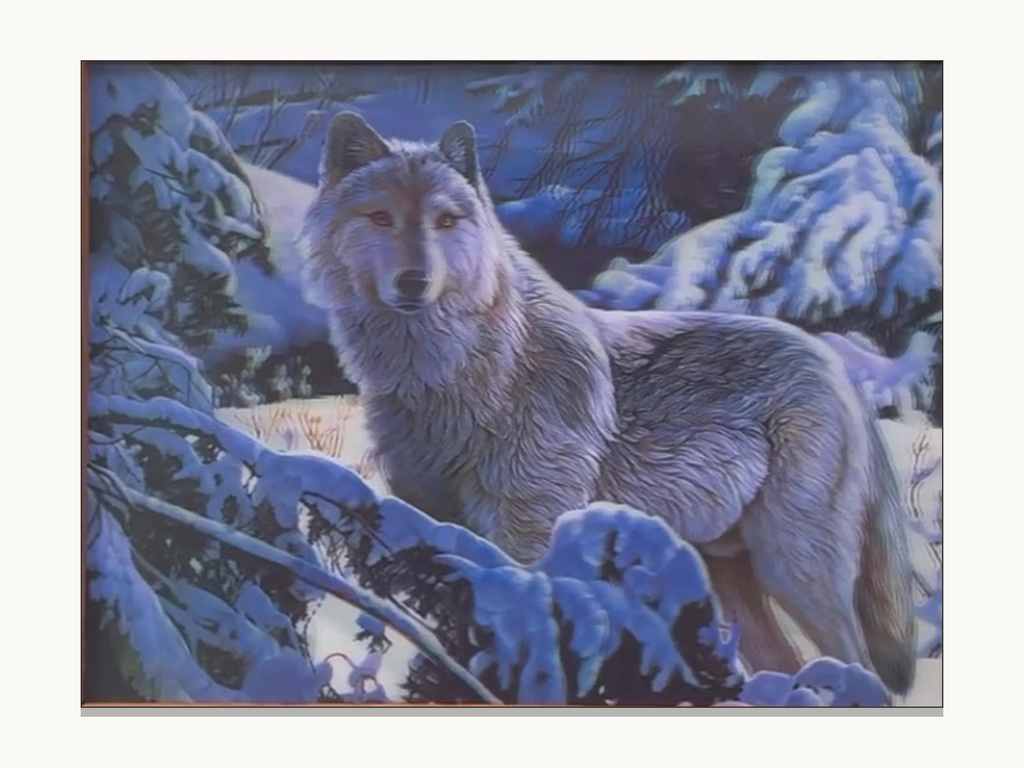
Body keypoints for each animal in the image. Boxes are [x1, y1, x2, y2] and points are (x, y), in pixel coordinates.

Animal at [299, 112, 918, 695]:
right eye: (381, 218)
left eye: (445, 221)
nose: (414, 281)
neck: (449, 375)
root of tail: (836, 365)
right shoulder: (434, 524)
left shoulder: (530, 533)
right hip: (730, 576)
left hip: (793, 568)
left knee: (862, 671)